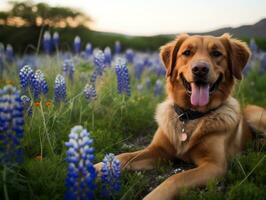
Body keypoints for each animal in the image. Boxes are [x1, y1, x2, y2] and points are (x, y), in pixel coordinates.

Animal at [94, 33, 264, 199]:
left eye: (216, 53)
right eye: (187, 52)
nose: (200, 69)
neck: (190, 115)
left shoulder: (215, 165)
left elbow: (176, 178)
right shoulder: (158, 150)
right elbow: (124, 156)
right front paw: (96, 168)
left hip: (256, 115)